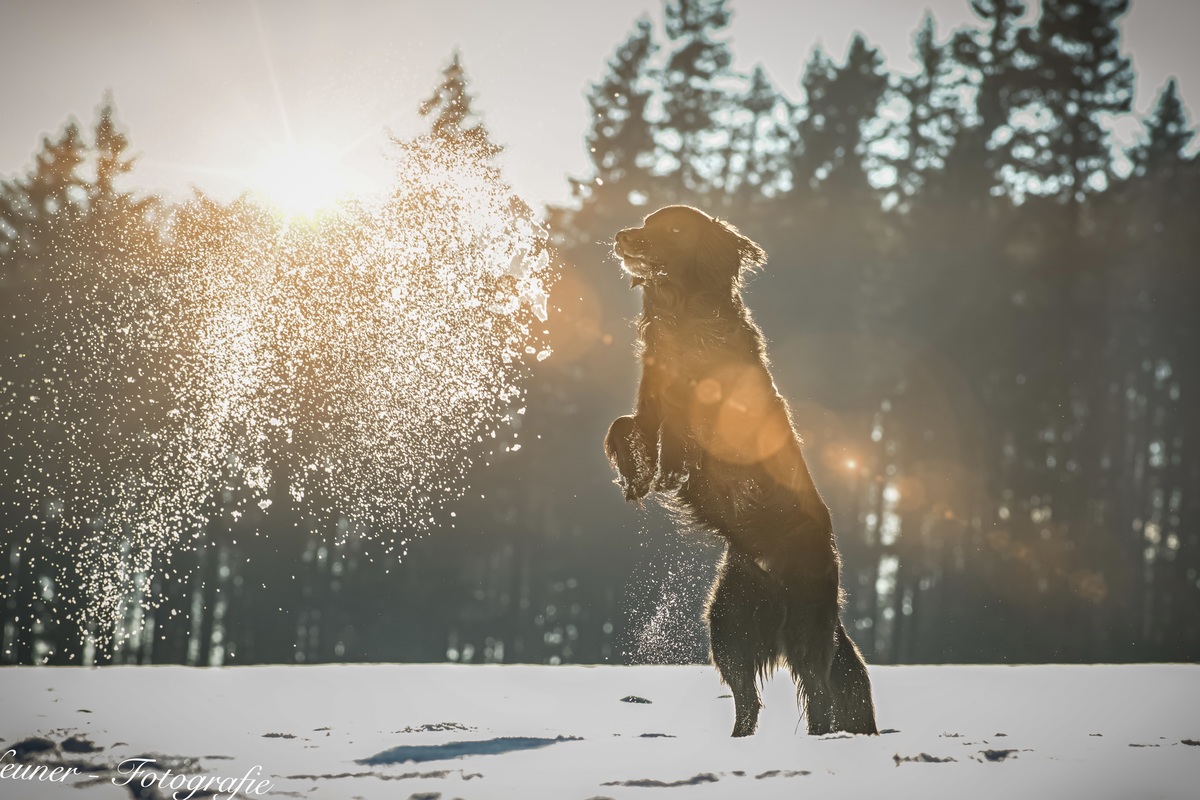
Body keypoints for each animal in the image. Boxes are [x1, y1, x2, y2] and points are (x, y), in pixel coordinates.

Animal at [604, 205, 878, 738]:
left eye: (672, 229)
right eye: (645, 221)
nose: (623, 235)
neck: (682, 316)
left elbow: (688, 435)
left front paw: (668, 472)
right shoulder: (650, 401)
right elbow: (625, 425)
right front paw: (637, 477)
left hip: (804, 626)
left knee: (821, 695)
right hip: (727, 622)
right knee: (748, 701)